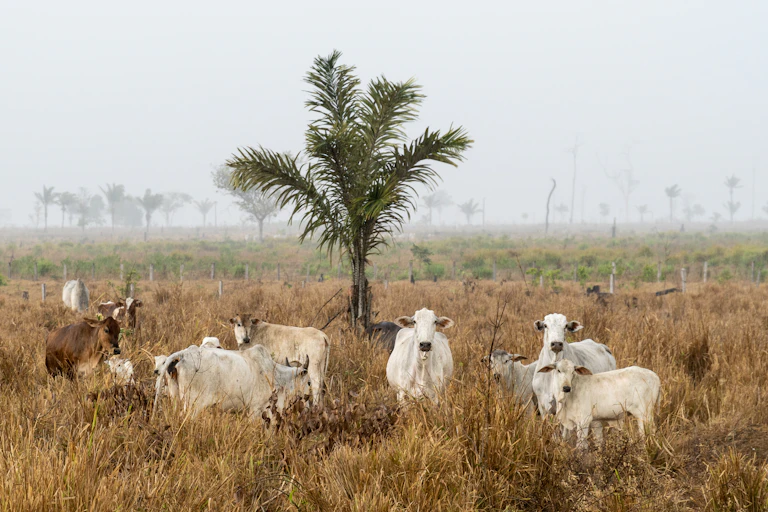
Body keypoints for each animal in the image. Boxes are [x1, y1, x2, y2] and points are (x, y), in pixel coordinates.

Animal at [152, 344, 311, 420]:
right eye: (308, 382)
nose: (309, 403)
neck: (275, 374)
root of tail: (183, 354)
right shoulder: (255, 410)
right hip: (193, 406)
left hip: (175, 399)